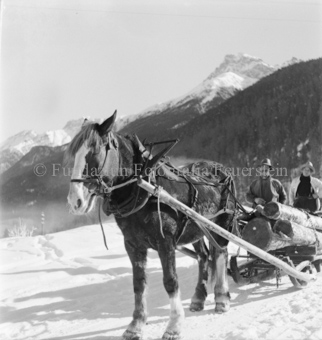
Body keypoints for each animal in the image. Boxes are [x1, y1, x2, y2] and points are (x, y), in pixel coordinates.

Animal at [65, 110, 236, 338]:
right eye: (74, 155)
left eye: (95, 151)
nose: (75, 201)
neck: (142, 187)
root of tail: (219, 168)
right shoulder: (133, 245)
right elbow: (138, 284)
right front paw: (136, 325)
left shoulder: (165, 243)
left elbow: (170, 281)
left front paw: (174, 325)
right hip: (197, 230)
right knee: (204, 256)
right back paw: (199, 297)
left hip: (222, 225)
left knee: (221, 254)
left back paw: (222, 298)